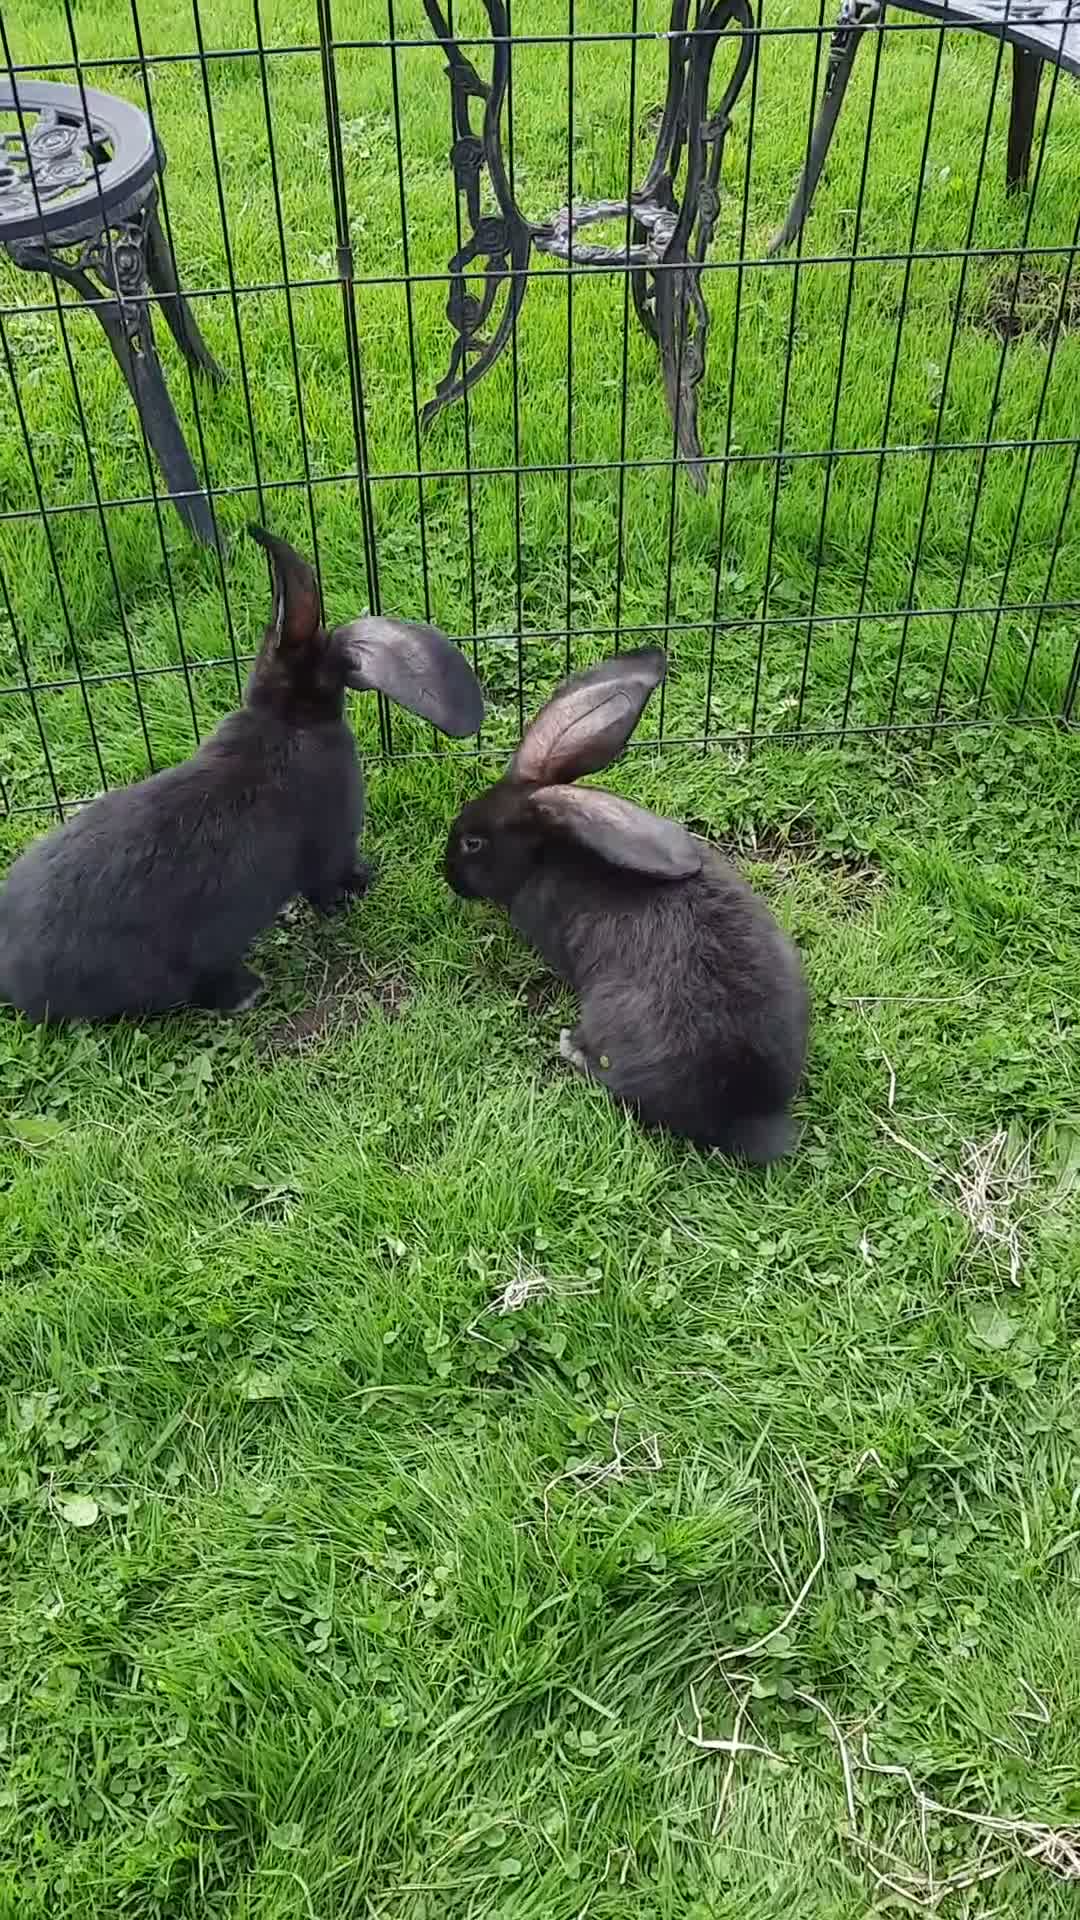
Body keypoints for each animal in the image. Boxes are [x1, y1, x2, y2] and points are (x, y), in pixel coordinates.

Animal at [0, 525, 484, 1024]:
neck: (286, 717)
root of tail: (16, 977)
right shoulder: (330, 846)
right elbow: (326, 881)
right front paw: (358, 886)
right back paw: (246, 990)